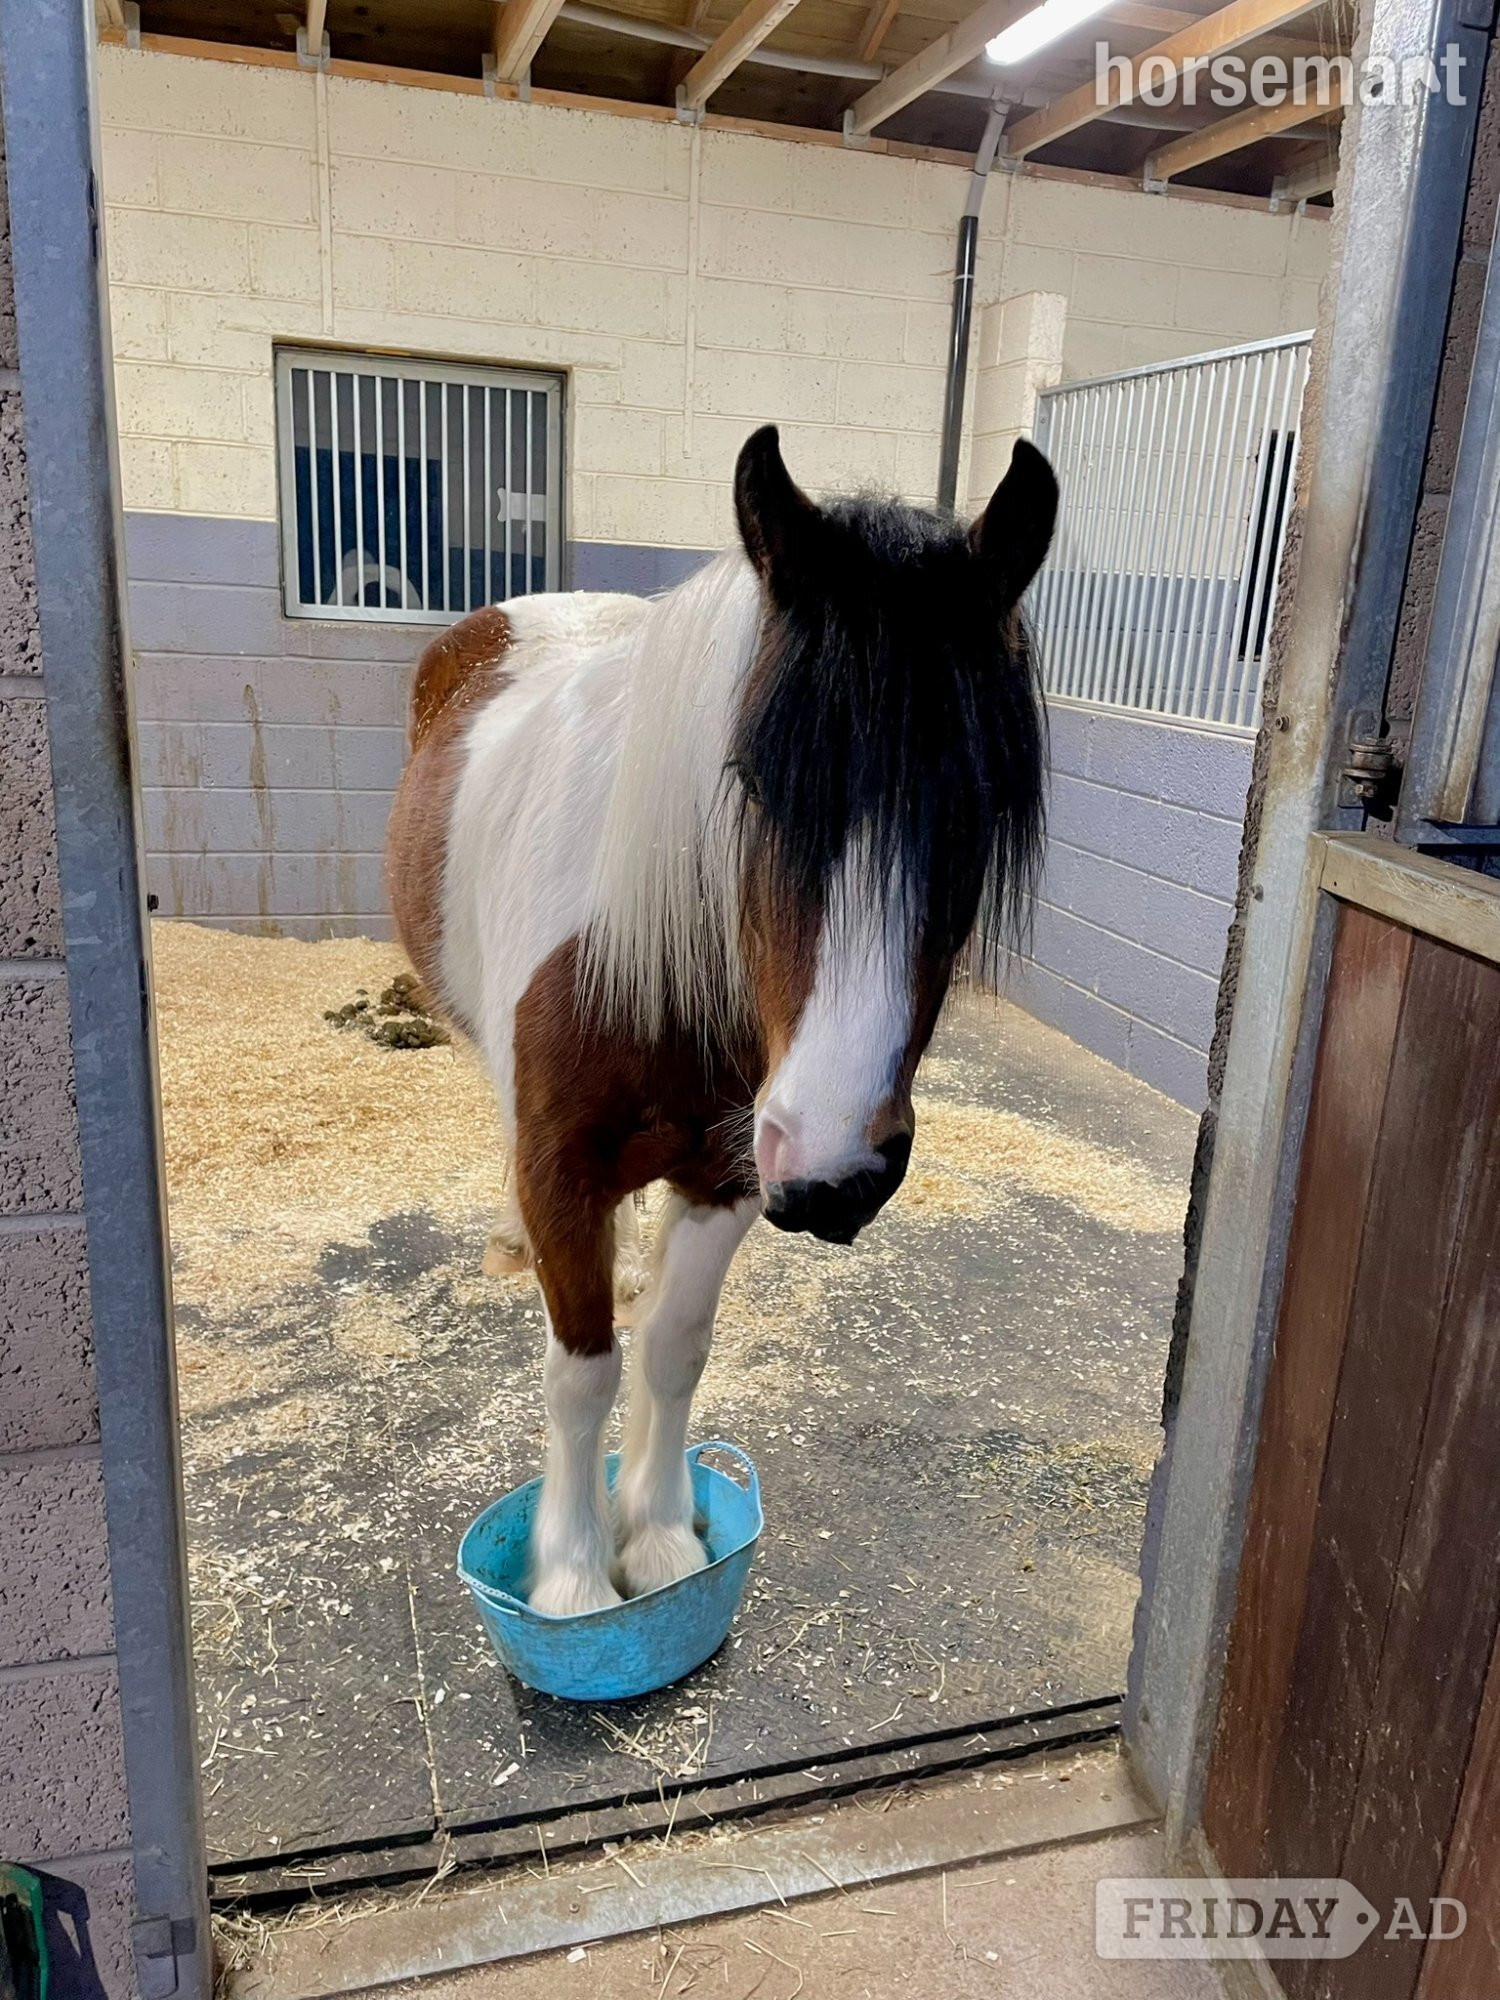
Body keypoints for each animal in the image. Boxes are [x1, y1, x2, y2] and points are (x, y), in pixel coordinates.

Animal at [386, 425, 1056, 1617]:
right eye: (750, 782)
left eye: (978, 813)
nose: (838, 1174)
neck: (645, 963)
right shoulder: (563, 1171)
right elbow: (583, 1371)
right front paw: (573, 1580)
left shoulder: (729, 1171)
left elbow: (673, 1347)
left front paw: (655, 1540)